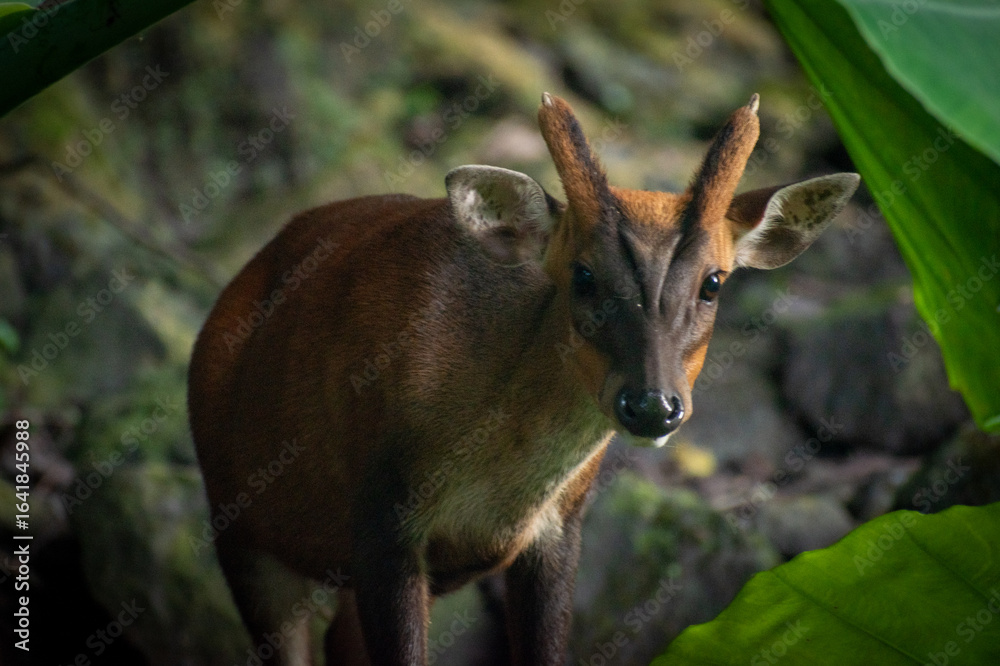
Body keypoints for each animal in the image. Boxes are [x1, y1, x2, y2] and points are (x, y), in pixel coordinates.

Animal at [188, 91, 859, 665]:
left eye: (714, 283)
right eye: (582, 275)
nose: (652, 406)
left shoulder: (562, 526)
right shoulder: (382, 514)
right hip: (238, 521)